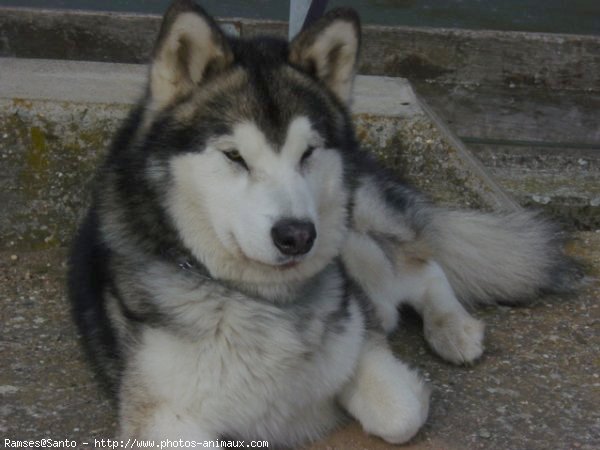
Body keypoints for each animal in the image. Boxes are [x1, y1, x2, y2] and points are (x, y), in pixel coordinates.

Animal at [69, 0, 576, 446]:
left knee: (419, 268)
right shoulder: (161, 414)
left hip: (357, 235)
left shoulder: (360, 345)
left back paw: (453, 329)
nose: (297, 236)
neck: (262, 298)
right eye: (234, 156)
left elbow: (399, 413)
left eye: (307, 152)